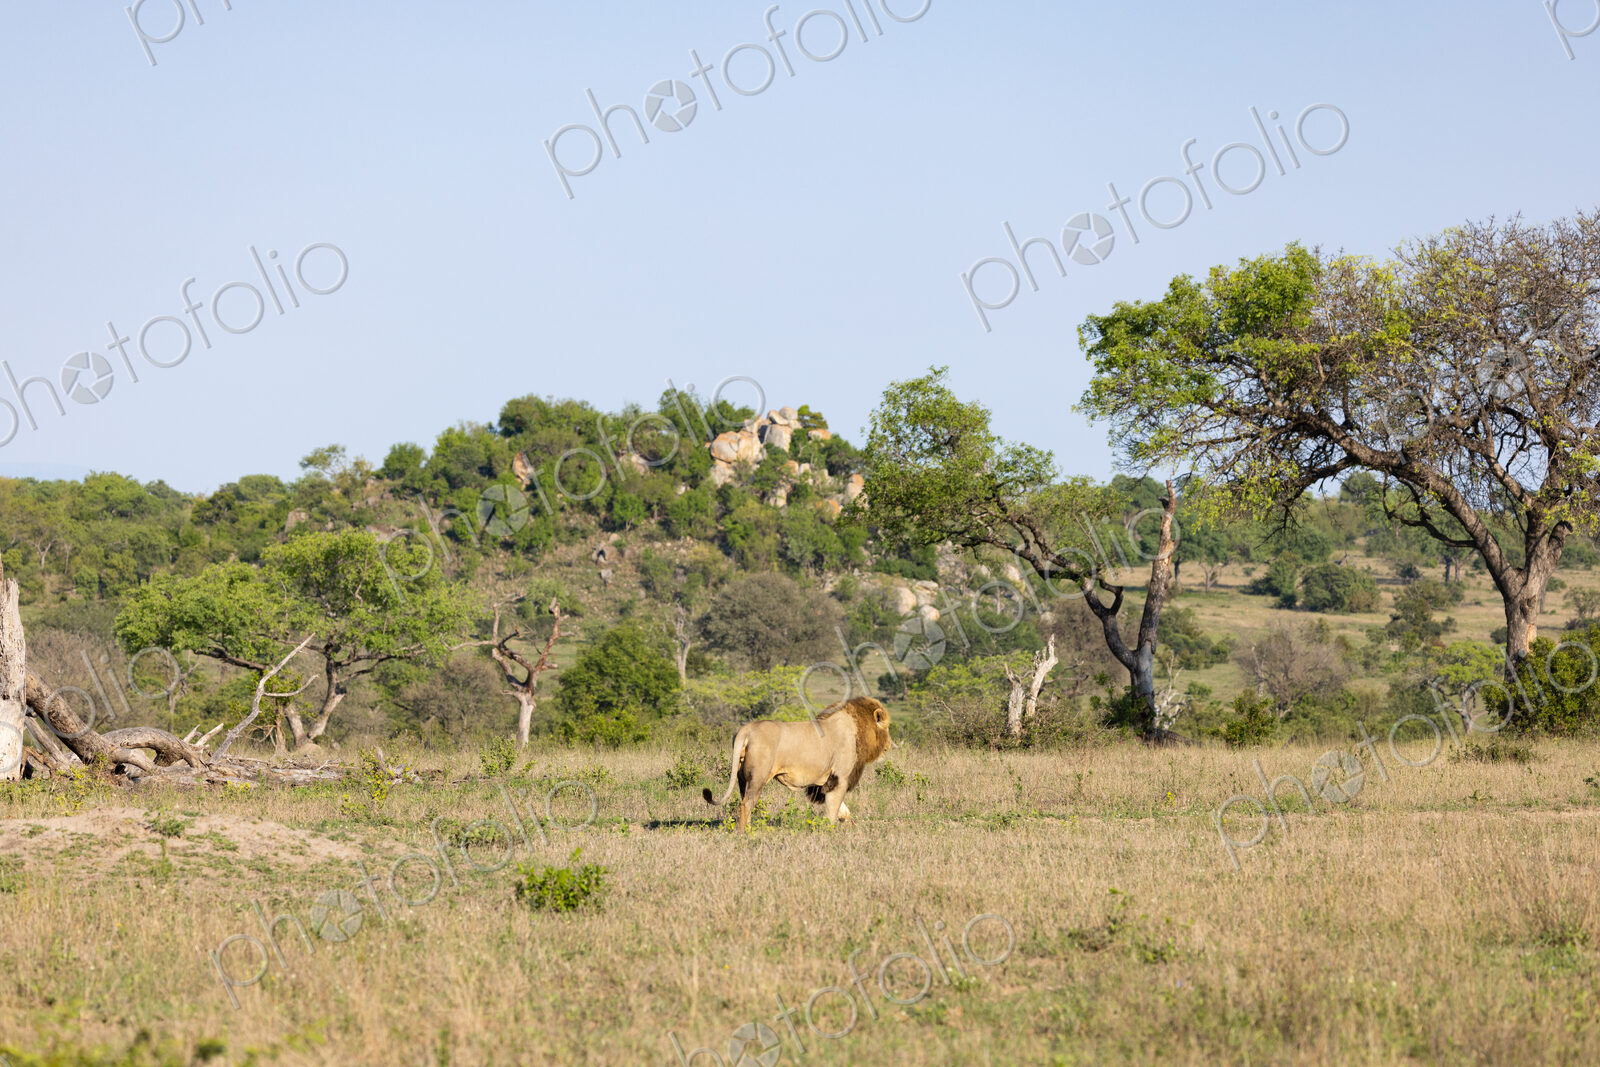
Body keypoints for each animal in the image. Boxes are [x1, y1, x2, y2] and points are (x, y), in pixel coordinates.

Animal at [703, 697, 892, 831]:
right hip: (758, 777)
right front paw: (830, 830)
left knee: (745, 802)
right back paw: (744, 832)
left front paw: (848, 822)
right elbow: (833, 807)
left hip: (742, 778)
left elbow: (841, 808)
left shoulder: (824, 781)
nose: (890, 744)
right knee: (745, 805)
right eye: (888, 728)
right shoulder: (840, 777)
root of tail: (746, 729)